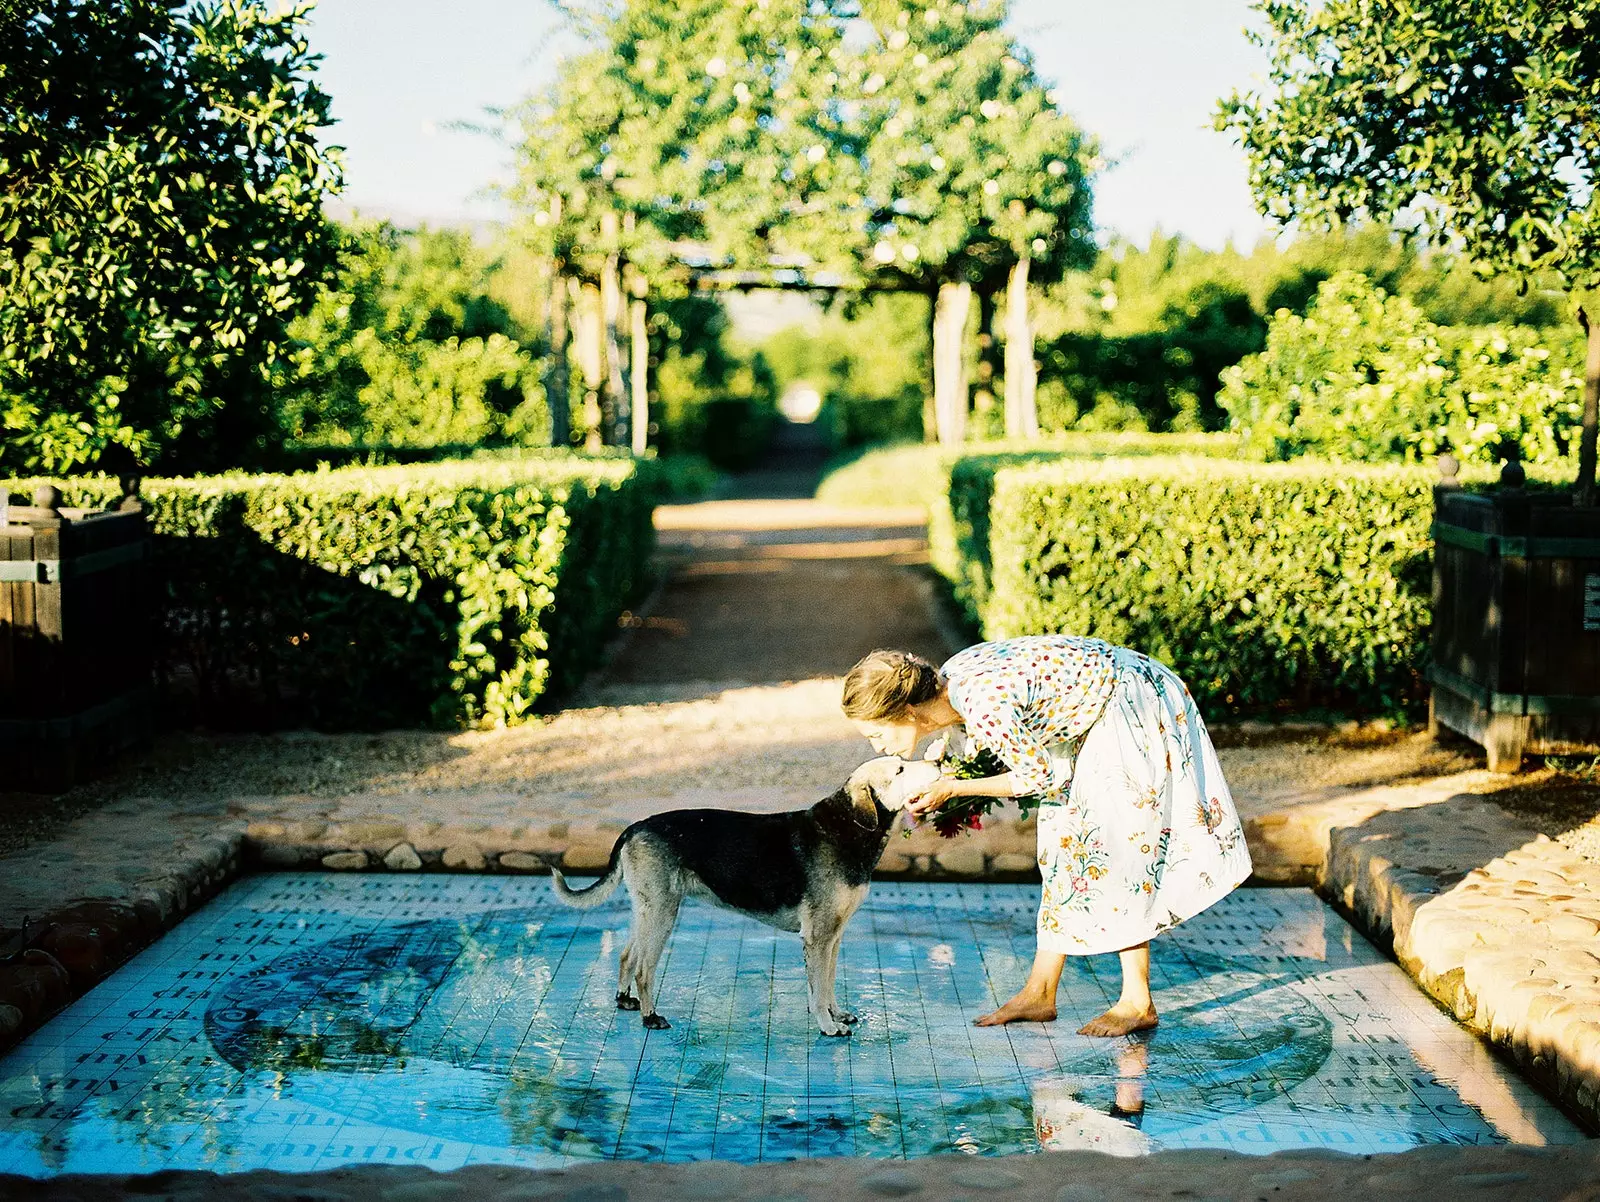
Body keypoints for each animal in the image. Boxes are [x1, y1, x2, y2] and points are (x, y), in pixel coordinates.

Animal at [553, 761, 934, 1037]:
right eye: (899, 770)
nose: (935, 763)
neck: (848, 827)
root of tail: (634, 827)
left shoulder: (834, 936)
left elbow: (828, 984)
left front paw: (837, 1014)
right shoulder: (818, 937)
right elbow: (817, 991)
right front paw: (828, 1026)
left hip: (647, 908)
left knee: (626, 955)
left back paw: (624, 1000)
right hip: (662, 913)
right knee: (644, 969)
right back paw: (651, 1016)